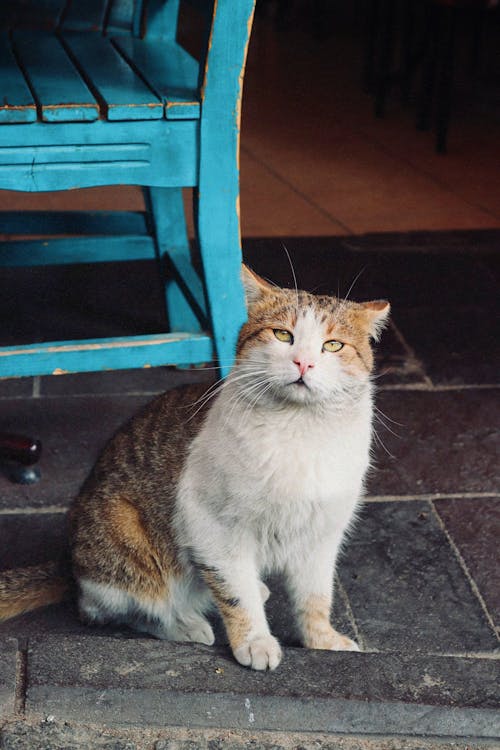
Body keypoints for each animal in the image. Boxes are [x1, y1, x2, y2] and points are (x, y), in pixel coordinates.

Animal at [0, 266, 390, 676]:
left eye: (333, 346)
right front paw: (254, 641)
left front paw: (322, 639)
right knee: (118, 609)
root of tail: (70, 562)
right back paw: (185, 624)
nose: (303, 363)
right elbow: (236, 596)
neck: (299, 432)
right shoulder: (215, 529)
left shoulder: (320, 535)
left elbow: (315, 596)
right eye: (283, 335)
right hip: (124, 533)